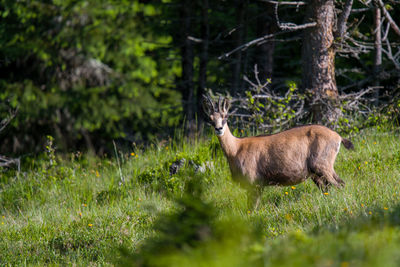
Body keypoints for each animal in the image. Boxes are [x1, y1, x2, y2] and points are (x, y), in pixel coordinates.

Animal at [202, 94, 354, 209]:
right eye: (210, 119)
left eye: (225, 116)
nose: (219, 129)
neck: (236, 149)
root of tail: (338, 137)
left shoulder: (254, 183)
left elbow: (252, 208)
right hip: (316, 174)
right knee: (328, 188)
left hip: (322, 165)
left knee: (340, 184)